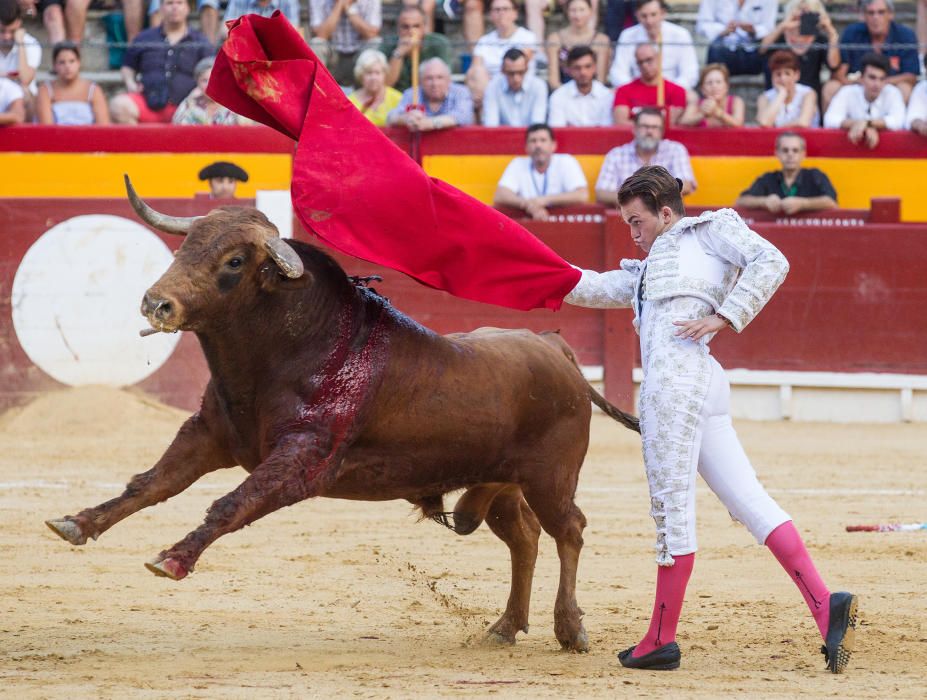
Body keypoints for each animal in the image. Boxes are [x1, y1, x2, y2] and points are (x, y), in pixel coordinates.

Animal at [47, 178, 640, 652]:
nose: (157, 304)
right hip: (504, 483)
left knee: (569, 530)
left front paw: (172, 558)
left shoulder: (300, 460)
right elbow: (150, 483)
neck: (291, 351)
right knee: (524, 537)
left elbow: (229, 505)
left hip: (551, 477)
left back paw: (570, 630)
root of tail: (553, 346)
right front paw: (78, 522)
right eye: (186, 245)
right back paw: (505, 626)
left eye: (234, 261)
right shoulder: (209, 434)